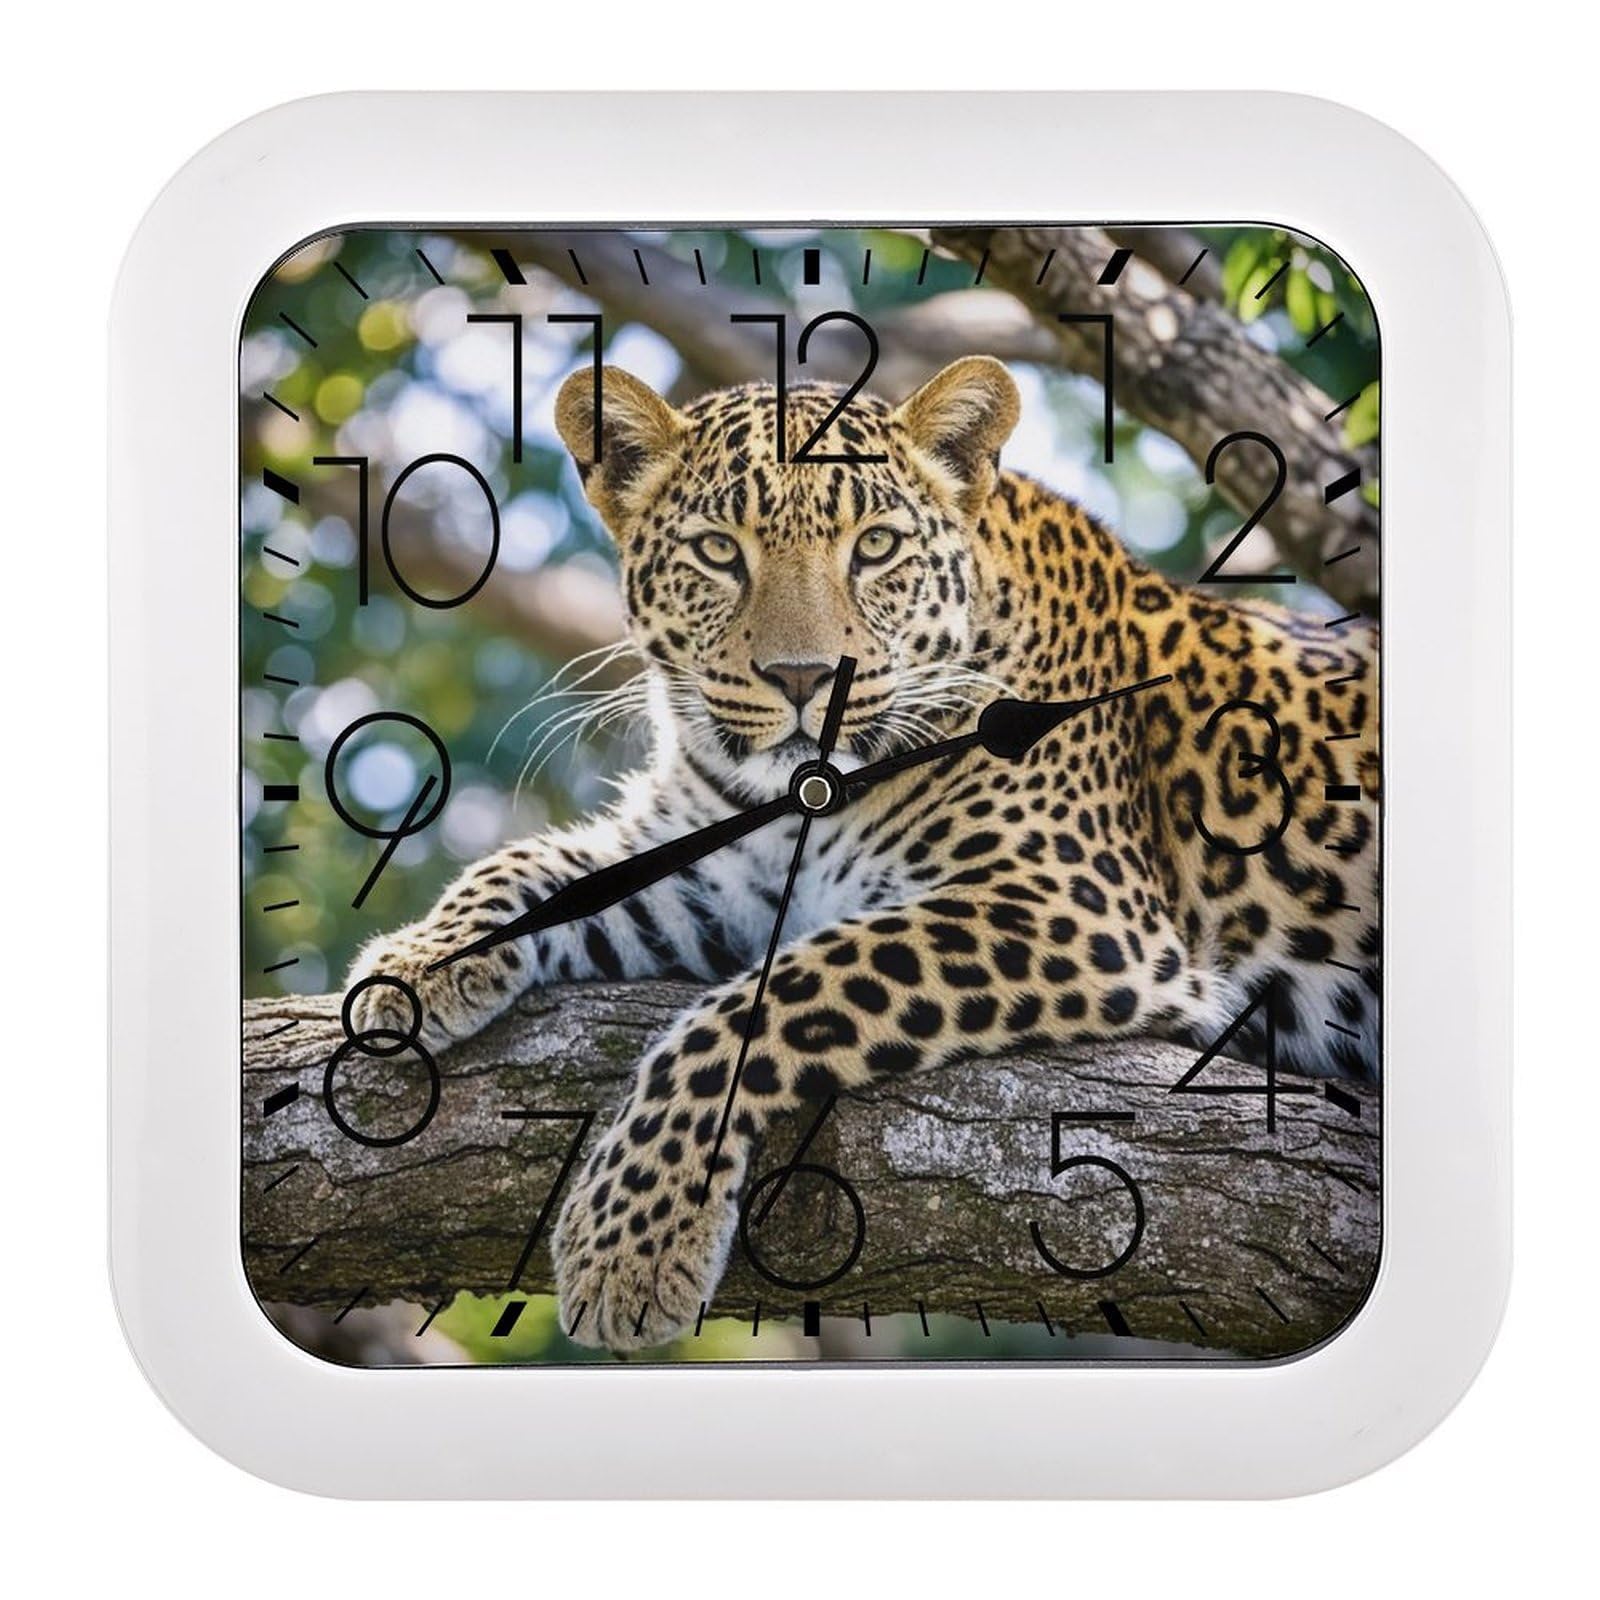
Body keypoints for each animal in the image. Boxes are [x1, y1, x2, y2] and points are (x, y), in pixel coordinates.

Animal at [349, 356, 1380, 1352]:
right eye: (719, 552)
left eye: (875, 547)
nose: (805, 680)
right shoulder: (714, 880)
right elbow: (531, 869)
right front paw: (414, 966)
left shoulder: (1071, 909)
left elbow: (762, 1004)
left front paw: (632, 1242)